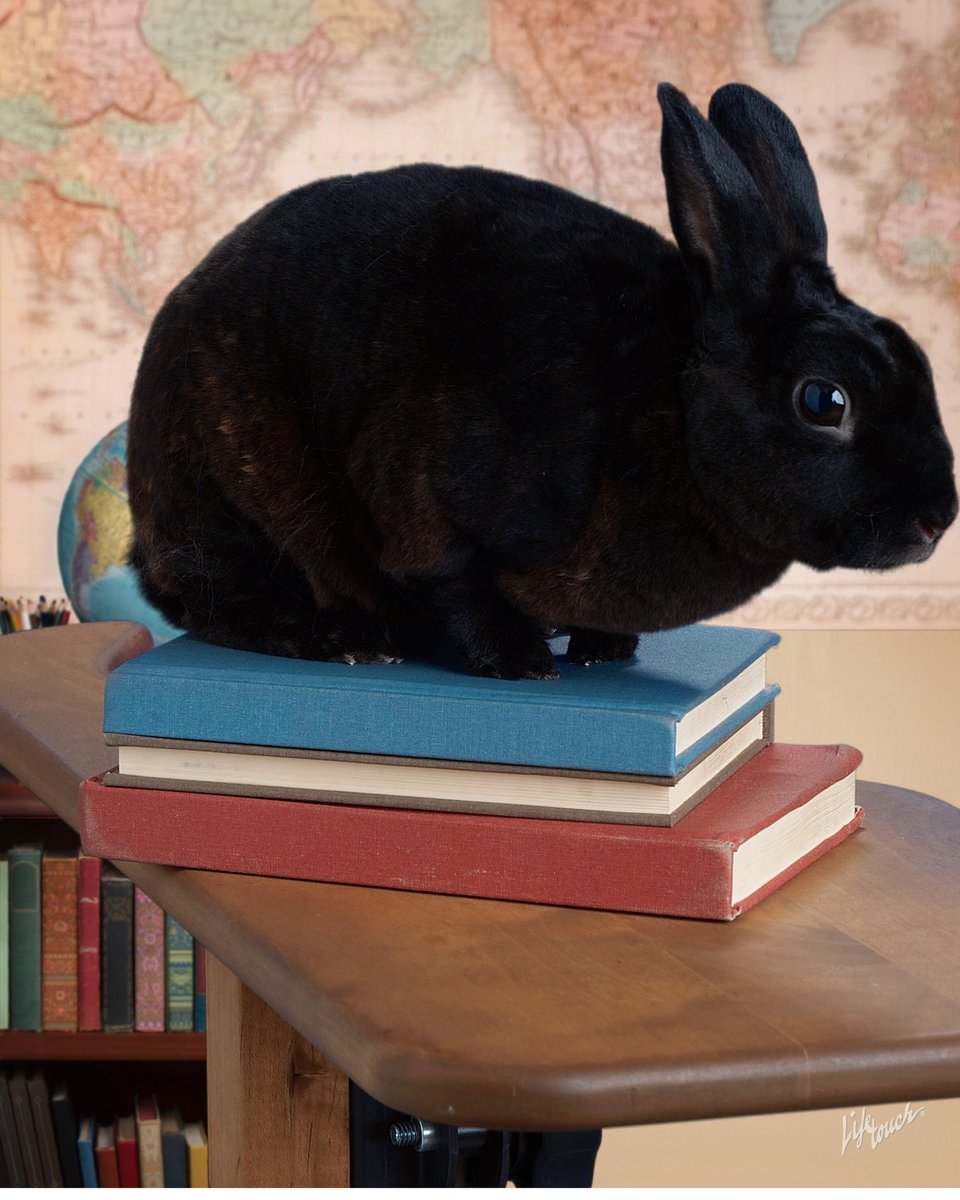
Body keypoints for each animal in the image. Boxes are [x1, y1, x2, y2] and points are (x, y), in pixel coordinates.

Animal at [127, 82, 957, 679]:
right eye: (823, 400)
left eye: (918, 357)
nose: (936, 520)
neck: (669, 410)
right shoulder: (427, 497)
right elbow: (451, 578)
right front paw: (521, 663)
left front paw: (602, 649)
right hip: (232, 499)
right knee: (218, 602)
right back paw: (345, 640)